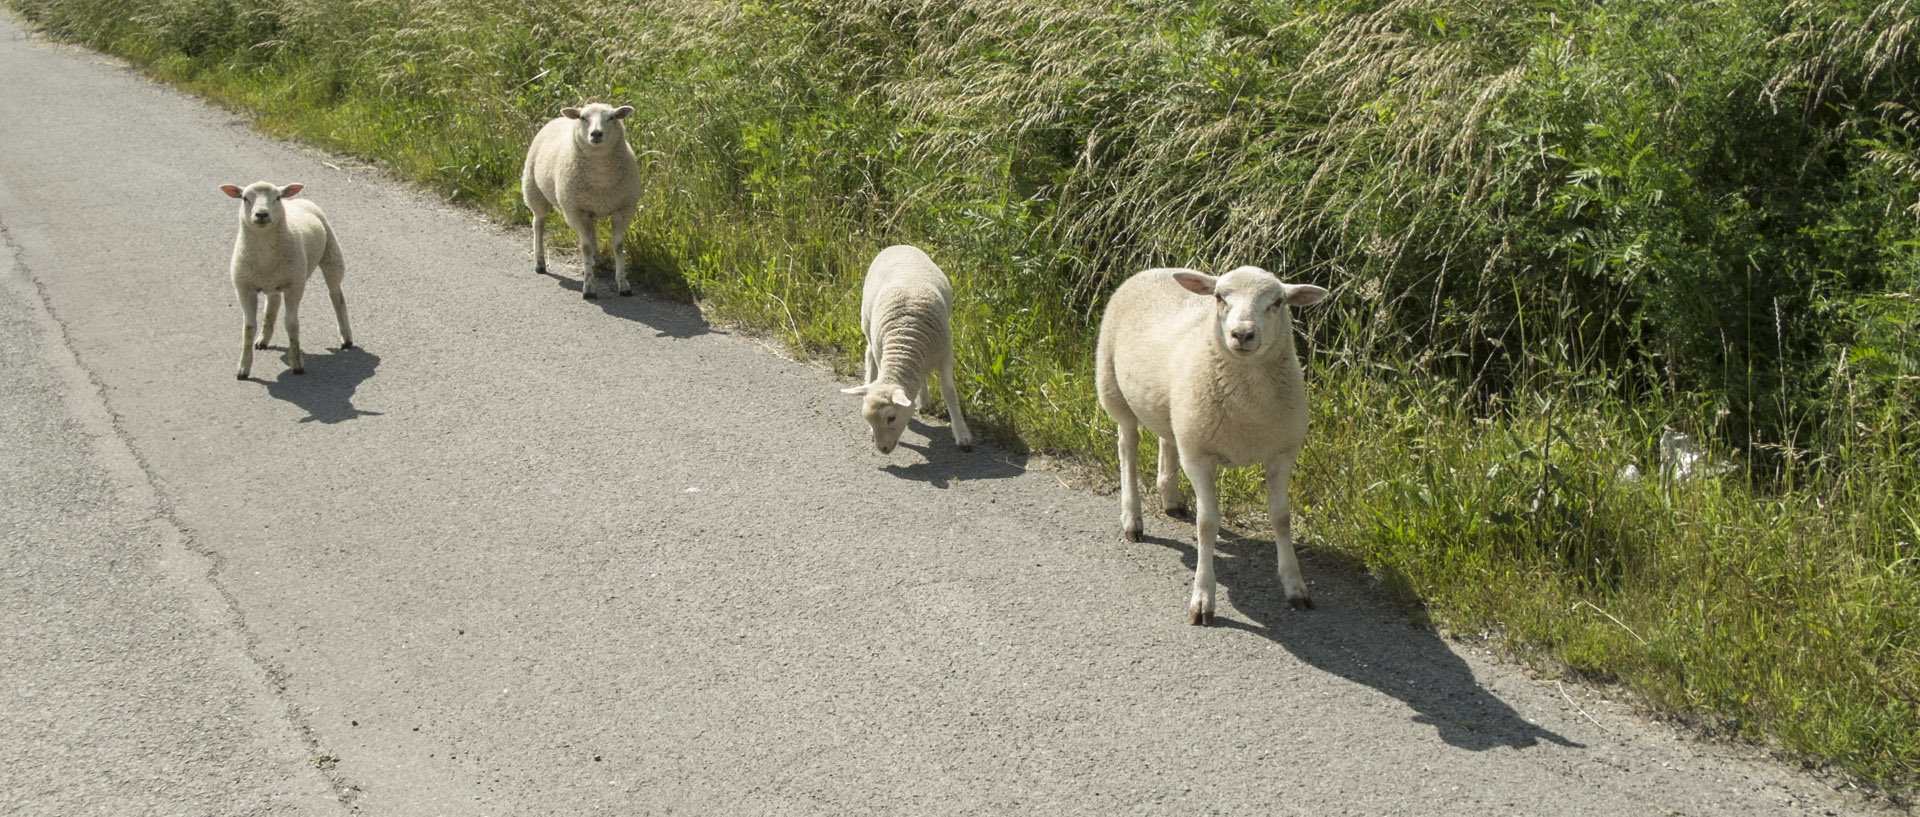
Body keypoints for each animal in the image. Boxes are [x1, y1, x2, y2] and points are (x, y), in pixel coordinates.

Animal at [219, 180, 353, 377]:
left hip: (331, 255)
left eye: (277, 198)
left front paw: (297, 363)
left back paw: (346, 337)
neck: (265, 257)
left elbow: (291, 324)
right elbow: (249, 328)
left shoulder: (295, 285)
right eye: (244, 198)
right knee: (272, 304)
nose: (261, 214)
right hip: (273, 282)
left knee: (336, 296)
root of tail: (296, 200)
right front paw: (243, 368)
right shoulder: (243, 287)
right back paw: (263, 339)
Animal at [522, 101, 641, 299]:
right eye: (583, 118)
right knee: (538, 224)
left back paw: (595, 260)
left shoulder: (623, 208)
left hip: (588, 205)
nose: (596, 133)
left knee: (591, 227)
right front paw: (589, 287)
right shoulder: (575, 211)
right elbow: (584, 247)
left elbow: (618, 246)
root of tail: (558, 118)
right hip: (533, 189)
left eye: (612, 117)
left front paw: (623, 284)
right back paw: (540, 263)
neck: (601, 176)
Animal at [840, 245, 975, 456]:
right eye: (867, 419)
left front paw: (962, 435)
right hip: (867, 322)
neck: (905, 341)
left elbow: (949, 392)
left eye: (891, 418)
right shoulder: (883, 353)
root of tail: (897, 245)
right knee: (869, 354)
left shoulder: (946, 354)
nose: (882, 449)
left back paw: (924, 401)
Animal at [1105, 266, 1328, 625]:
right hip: (1113, 389)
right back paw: (1132, 519)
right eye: (1220, 297)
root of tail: (1157, 269)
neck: (1248, 408)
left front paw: (1295, 587)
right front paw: (1202, 599)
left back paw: (1170, 499)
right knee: (1128, 446)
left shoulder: (1282, 452)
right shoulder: (1198, 456)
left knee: (1167, 439)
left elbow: (1281, 518)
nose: (1242, 334)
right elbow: (1207, 524)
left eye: (1277, 302)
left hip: (1175, 410)